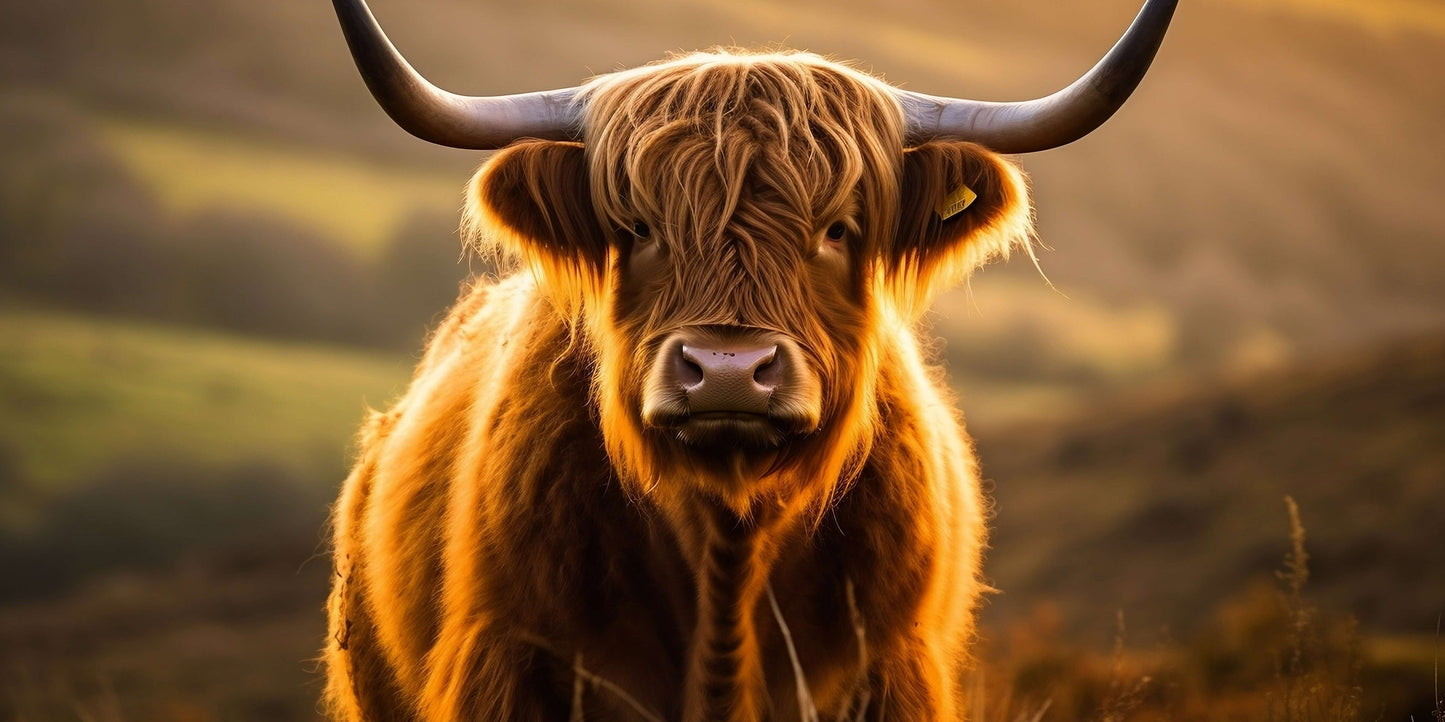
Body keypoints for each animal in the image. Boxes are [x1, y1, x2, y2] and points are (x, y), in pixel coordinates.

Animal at [321, 1, 1176, 720]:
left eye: (837, 228)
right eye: (638, 227)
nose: (727, 370)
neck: (727, 545)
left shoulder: (891, 670)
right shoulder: (510, 661)